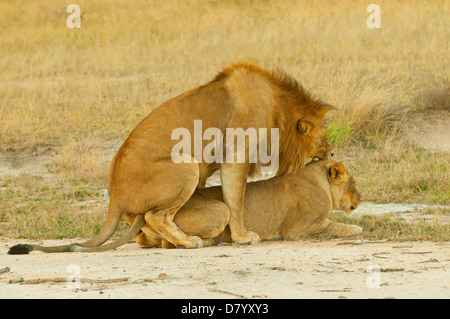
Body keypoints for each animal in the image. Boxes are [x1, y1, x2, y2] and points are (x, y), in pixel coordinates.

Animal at [8, 62, 336, 255]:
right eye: (324, 139)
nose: (332, 153)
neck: (279, 106)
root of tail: (114, 197)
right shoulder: (236, 154)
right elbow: (236, 200)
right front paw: (243, 237)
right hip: (186, 164)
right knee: (157, 216)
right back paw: (190, 242)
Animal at [137, 160, 362, 248]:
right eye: (354, 183)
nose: (361, 199)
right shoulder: (297, 229)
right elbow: (335, 226)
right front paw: (357, 228)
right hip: (221, 209)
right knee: (167, 242)